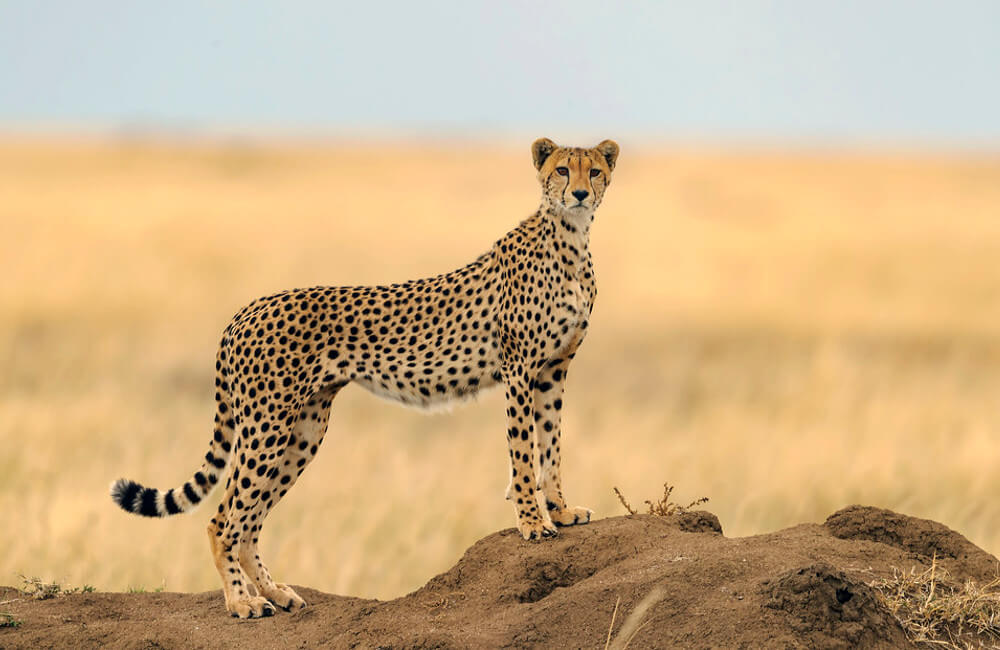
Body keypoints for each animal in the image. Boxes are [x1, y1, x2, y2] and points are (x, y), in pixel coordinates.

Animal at [111, 137, 620, 618]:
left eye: (594, 171)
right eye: (561, 170)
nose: (579, 193)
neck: (570, 240)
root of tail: (246, 310)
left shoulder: (553, 371)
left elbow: (551, 444)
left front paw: (561, 509)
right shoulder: (519, 370)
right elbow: (524, 451)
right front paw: (532, 521)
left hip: (302, 430)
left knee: (250, 519)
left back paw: (275, 593)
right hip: (266, 426)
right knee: (224, 519)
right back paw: (242, 602)